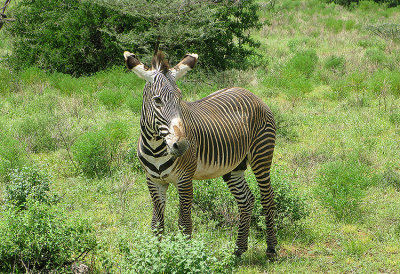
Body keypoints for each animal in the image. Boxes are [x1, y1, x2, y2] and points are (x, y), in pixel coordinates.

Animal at [125, 49, 278, 256]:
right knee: (246, 200)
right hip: (234, 166)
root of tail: (247, 91)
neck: (156, 147)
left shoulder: (184, 179)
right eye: (157, 100)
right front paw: (156, 256)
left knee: (267, 197)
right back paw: (239, 250)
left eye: (180, 98)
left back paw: (271, 248)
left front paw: (186, 255)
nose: (182, 146)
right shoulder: (153, 181)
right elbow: (157, 224)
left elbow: (184, 223)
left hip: (261, 155)